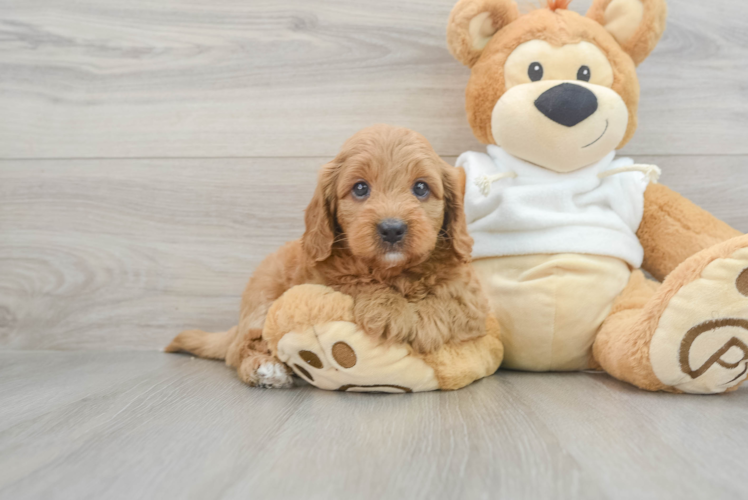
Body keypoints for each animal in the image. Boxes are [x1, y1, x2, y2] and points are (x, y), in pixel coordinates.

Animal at [166, 124, 488, 386]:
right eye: (360, 188)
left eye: (421, 187)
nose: (392, 229)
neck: (393, 272)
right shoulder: (319, 277)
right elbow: (353, 281)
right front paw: (388, 310)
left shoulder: (472, 298)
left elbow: (448, 303)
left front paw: (419, 323)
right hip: (262, 302)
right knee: (239, 349)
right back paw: (266, 370)